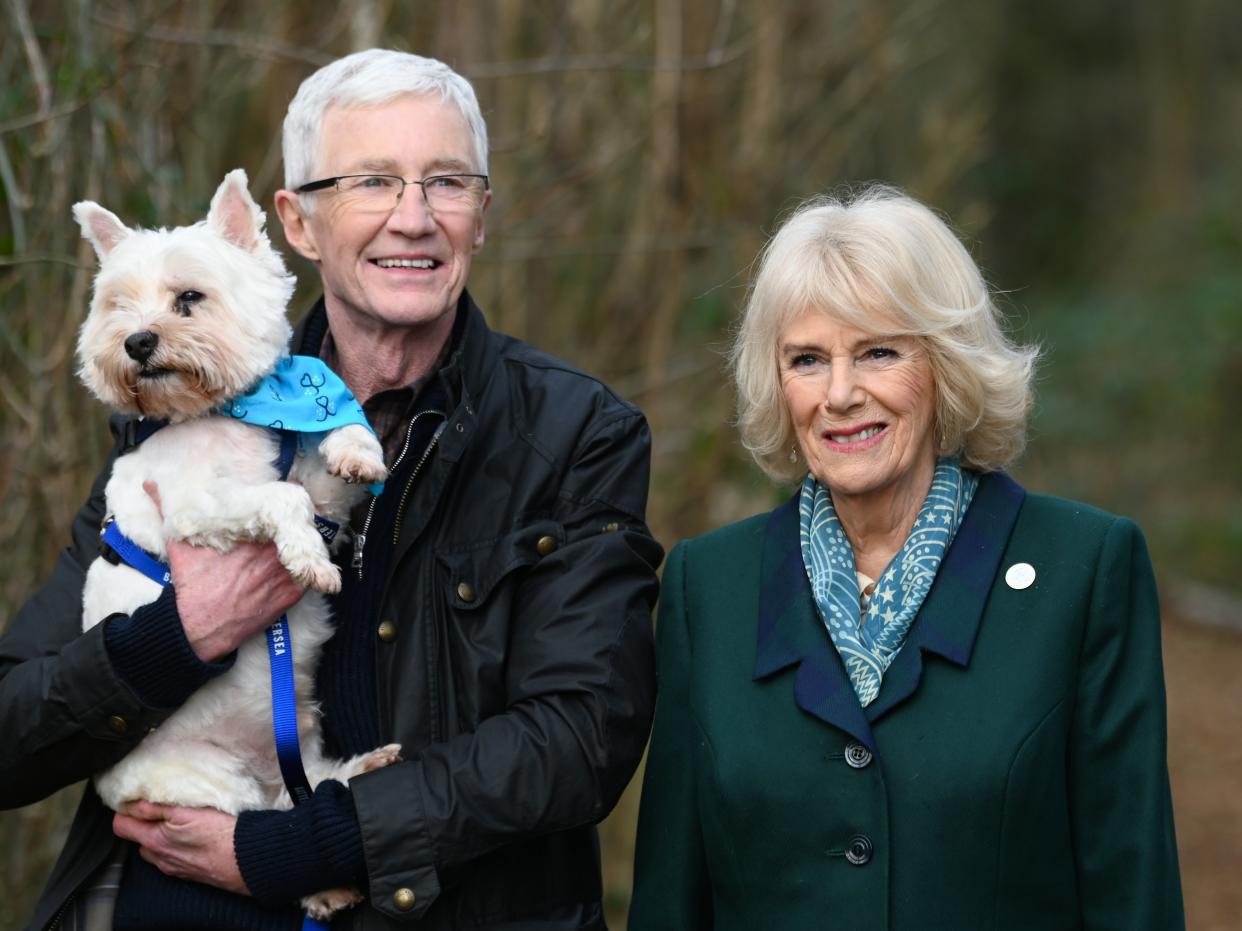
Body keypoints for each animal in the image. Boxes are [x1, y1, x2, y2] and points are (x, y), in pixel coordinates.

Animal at [72, 167, 397, 918]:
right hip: (209, 784)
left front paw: (358, 450)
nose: (137, 342)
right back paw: (327, 885)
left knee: (316, 794)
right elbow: (283, 499)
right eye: (117, 305)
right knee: (270, 825)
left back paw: (368, 768)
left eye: (188, 298)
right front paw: (308, 558)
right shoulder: (198, 507)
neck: (231, 409)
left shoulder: (315, 476)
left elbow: (331, 448)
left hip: (299, 750)